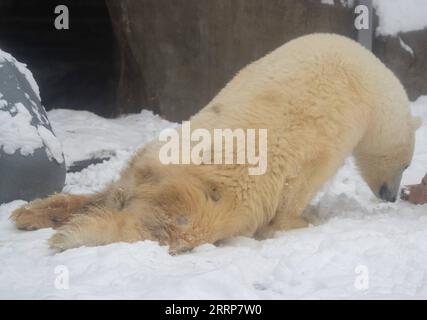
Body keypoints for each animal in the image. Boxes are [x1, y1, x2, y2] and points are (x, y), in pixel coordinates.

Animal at [10, 33, 422, 251]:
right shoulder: (334, 118)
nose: (392, 195)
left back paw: (35, 213)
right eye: (405, 164)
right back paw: (75, 233)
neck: (371, 86)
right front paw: (300, 221)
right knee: (171, 224)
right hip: (209, 191)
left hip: (147, 166)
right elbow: (302, 180)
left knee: (107, 195)